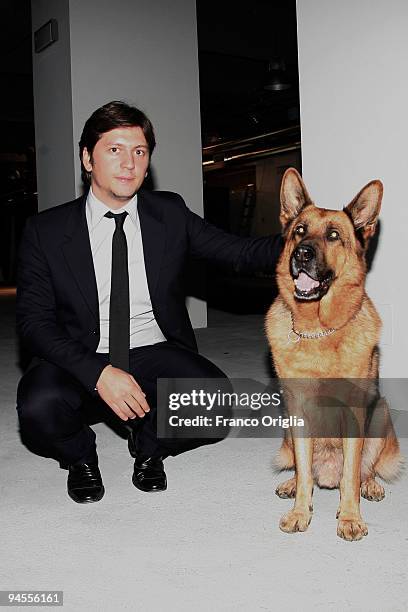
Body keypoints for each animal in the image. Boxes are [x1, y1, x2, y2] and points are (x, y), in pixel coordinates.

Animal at [264, 167, 402, 540]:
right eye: (299, 230)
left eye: (334, 235)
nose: (302, 254)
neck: (318, 331)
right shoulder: (298, 412)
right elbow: (304, 474)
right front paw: (300, 510)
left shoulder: (355, 414)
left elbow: (351, 474)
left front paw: (350, 517)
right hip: (287, 428)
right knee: (305, 471)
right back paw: (295, 483)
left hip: (380, 413)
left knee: (362, 470)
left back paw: (369, 485)